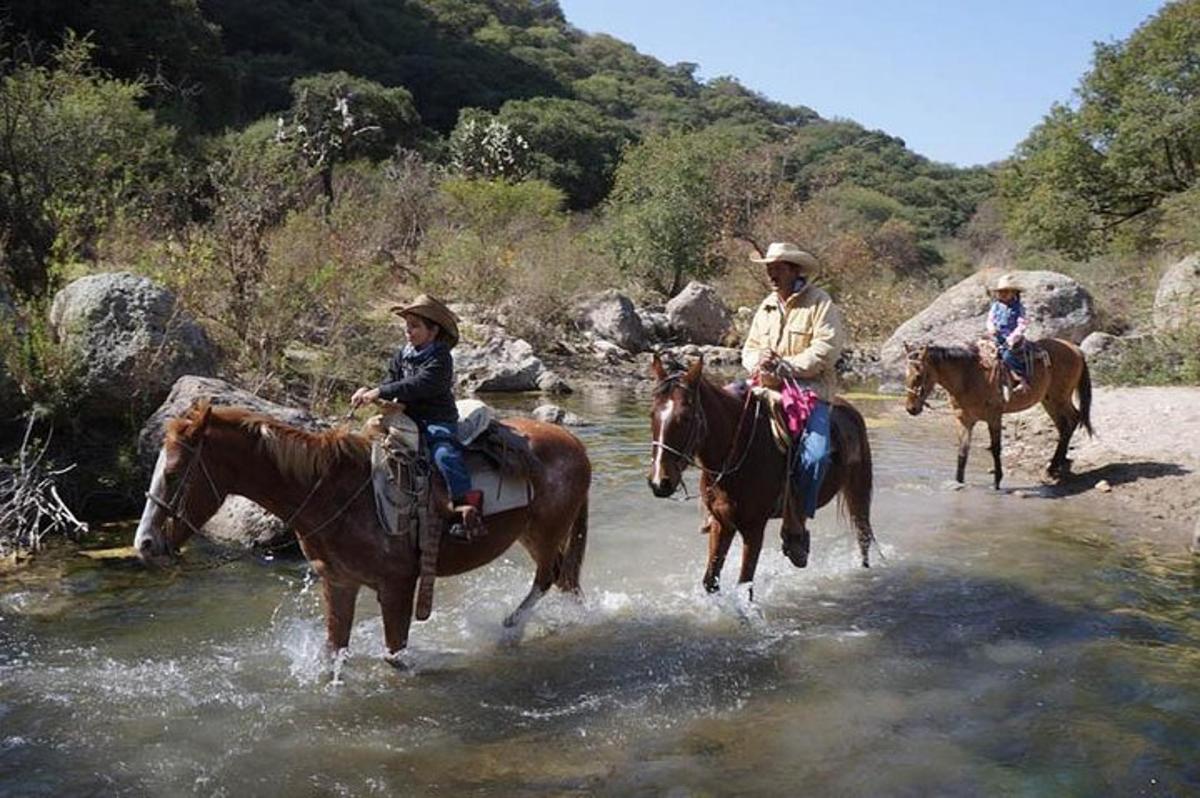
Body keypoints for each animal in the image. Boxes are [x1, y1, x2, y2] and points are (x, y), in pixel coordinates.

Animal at [133, 400, 588, 662]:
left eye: (173, 474)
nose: (145, 543)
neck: (336, 494)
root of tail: (572, 441)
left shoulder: (397, 587)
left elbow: (394, 655)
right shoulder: (339, 583)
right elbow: (334, 651)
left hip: (547, 531)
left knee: (549, 577)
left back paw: (512, 629)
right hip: (535, 535)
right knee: (566, 580)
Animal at [648, 355, 873, 590]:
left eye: (685, 418)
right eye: (651, 414)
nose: (659, 482)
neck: (737, 453)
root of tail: (850, 409)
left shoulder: (753, 528)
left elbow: (744, 585)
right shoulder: (722, 523)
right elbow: (711, 581)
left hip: (859, 491)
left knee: (864, 540)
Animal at [902, 336, 1094, 484]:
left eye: (918, 375)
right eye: (905, 374)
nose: (911, 408)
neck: (969, 377)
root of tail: (1076, 349)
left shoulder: (994, 417)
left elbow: (995, 448)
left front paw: (997, 481)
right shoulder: (964, 420)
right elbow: (962, 453)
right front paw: (959, 482)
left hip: (1059, 398)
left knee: (1073, 419)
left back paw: (1053, 467)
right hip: (1049, 401)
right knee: (1065, 425)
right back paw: (1056, 466)